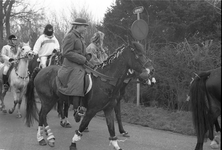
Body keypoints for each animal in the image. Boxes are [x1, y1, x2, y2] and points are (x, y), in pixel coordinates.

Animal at [23, 41, 154, 150]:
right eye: (138, 54)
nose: (151, 70)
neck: (106, 81)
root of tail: (40, 71)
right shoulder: (92, 110)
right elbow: (82, 126)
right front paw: (73, 144)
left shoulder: (108, 109)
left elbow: (112, 129)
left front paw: (117, 143)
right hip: (48, 101)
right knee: (42, 115)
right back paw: (44, 138)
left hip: (51, 100)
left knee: (43, 116)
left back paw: (47, 138)